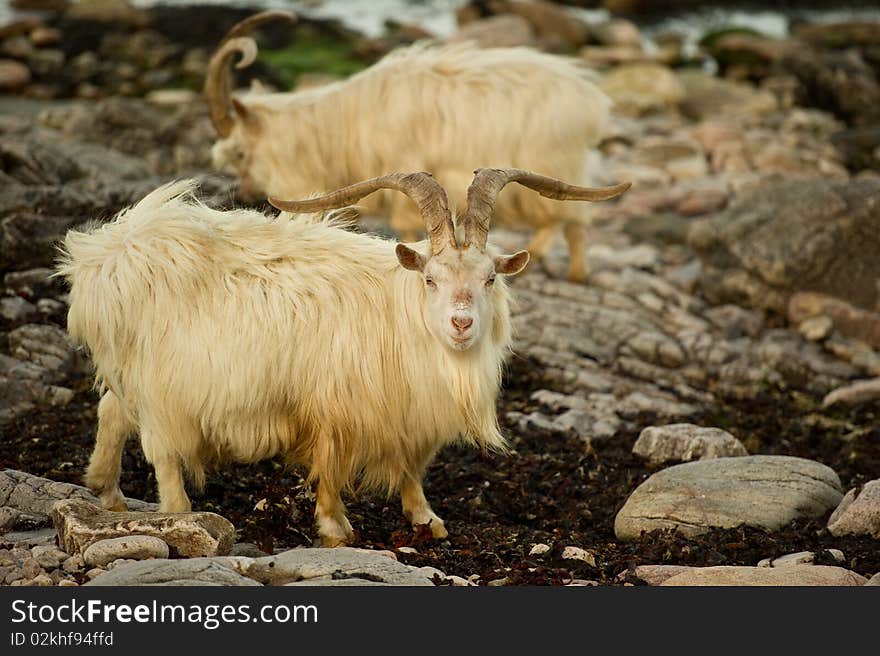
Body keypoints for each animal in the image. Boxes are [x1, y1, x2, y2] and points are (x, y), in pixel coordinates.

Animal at [56, 168, 624, 544]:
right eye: (430, 278)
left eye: (489, 279)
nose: (461, 324)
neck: (398, 315)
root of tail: (105, 252)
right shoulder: (334, 406)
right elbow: (330, 465)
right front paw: (335, 528)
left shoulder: (405, 413)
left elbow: (411, 466)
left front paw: (426, 519)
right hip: (162, 384)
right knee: (162, 449)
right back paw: (181, 514)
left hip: (131, 372)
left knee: (111, 411)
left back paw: (107, 492)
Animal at [209, 11, 616, 280]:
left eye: (241, 153)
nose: (246, 194)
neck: (341, 124)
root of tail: (592, 100)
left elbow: (406, 226)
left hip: (557, 165)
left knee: (569, 221)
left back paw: (563, 267)